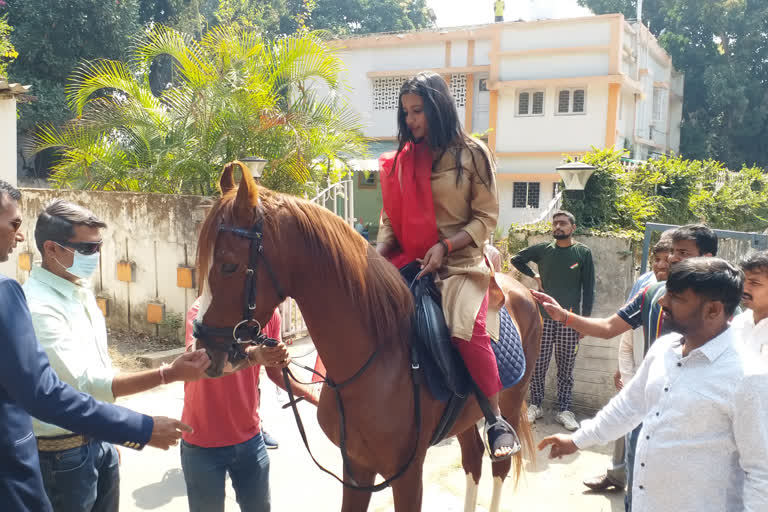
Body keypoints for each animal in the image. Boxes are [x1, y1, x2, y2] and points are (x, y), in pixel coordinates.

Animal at [195, 165, 544, 512]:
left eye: (228, 265)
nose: (205, 349)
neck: (376, 358)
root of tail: (522, 289)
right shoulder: (357, 467)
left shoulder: (407, 476)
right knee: (472, 457)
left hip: (510, 403)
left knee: (498, 464)